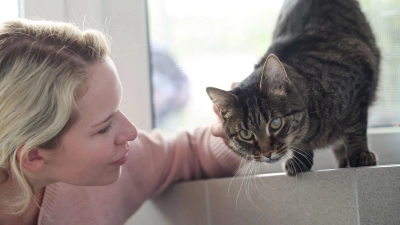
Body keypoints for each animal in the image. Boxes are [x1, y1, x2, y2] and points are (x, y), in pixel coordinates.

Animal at [208, 0, 380, 176]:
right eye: (246, 134)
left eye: (275, 123)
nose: (266, 153)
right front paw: (301, 160)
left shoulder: (360, 81)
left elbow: (356, 128)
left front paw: (359, 153)